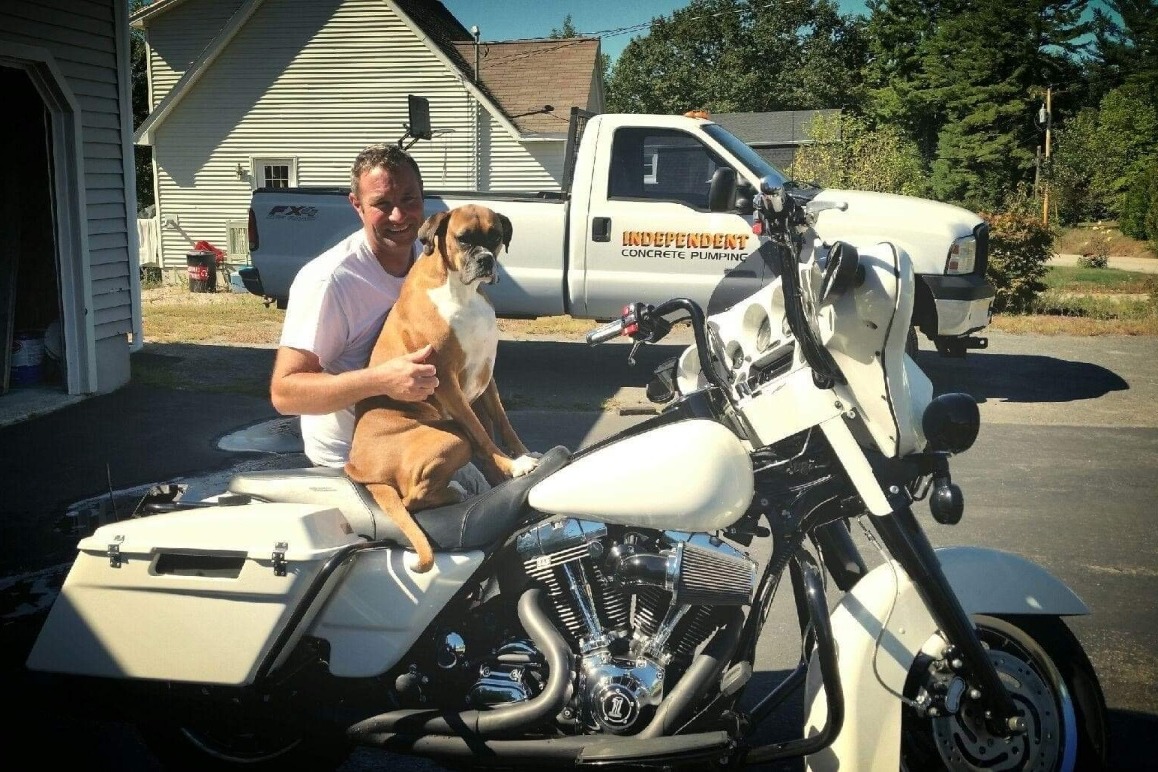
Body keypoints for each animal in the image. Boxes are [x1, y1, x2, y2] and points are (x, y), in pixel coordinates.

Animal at [345, 204, 539, 573]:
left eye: (495, 237)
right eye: (463, 239)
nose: (486, 260)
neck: (460, 292)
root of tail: (358, 470)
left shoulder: (486, 377)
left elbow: (502, 424)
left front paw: (521, 456)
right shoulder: (448, 382)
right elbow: (482, 433)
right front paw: (513, 467)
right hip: (452, 439)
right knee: (412, 498)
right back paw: (455, 493)